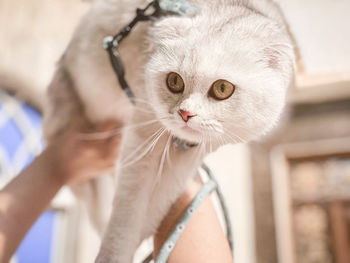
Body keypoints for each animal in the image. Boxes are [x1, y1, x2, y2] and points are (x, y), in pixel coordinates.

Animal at [44, 0, 296, 263]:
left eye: (222, 88)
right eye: (174, 81)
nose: (185, 114)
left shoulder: (187, 161)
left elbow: (156, 209)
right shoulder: (142, 139)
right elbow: (126, 216)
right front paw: (114, 255)